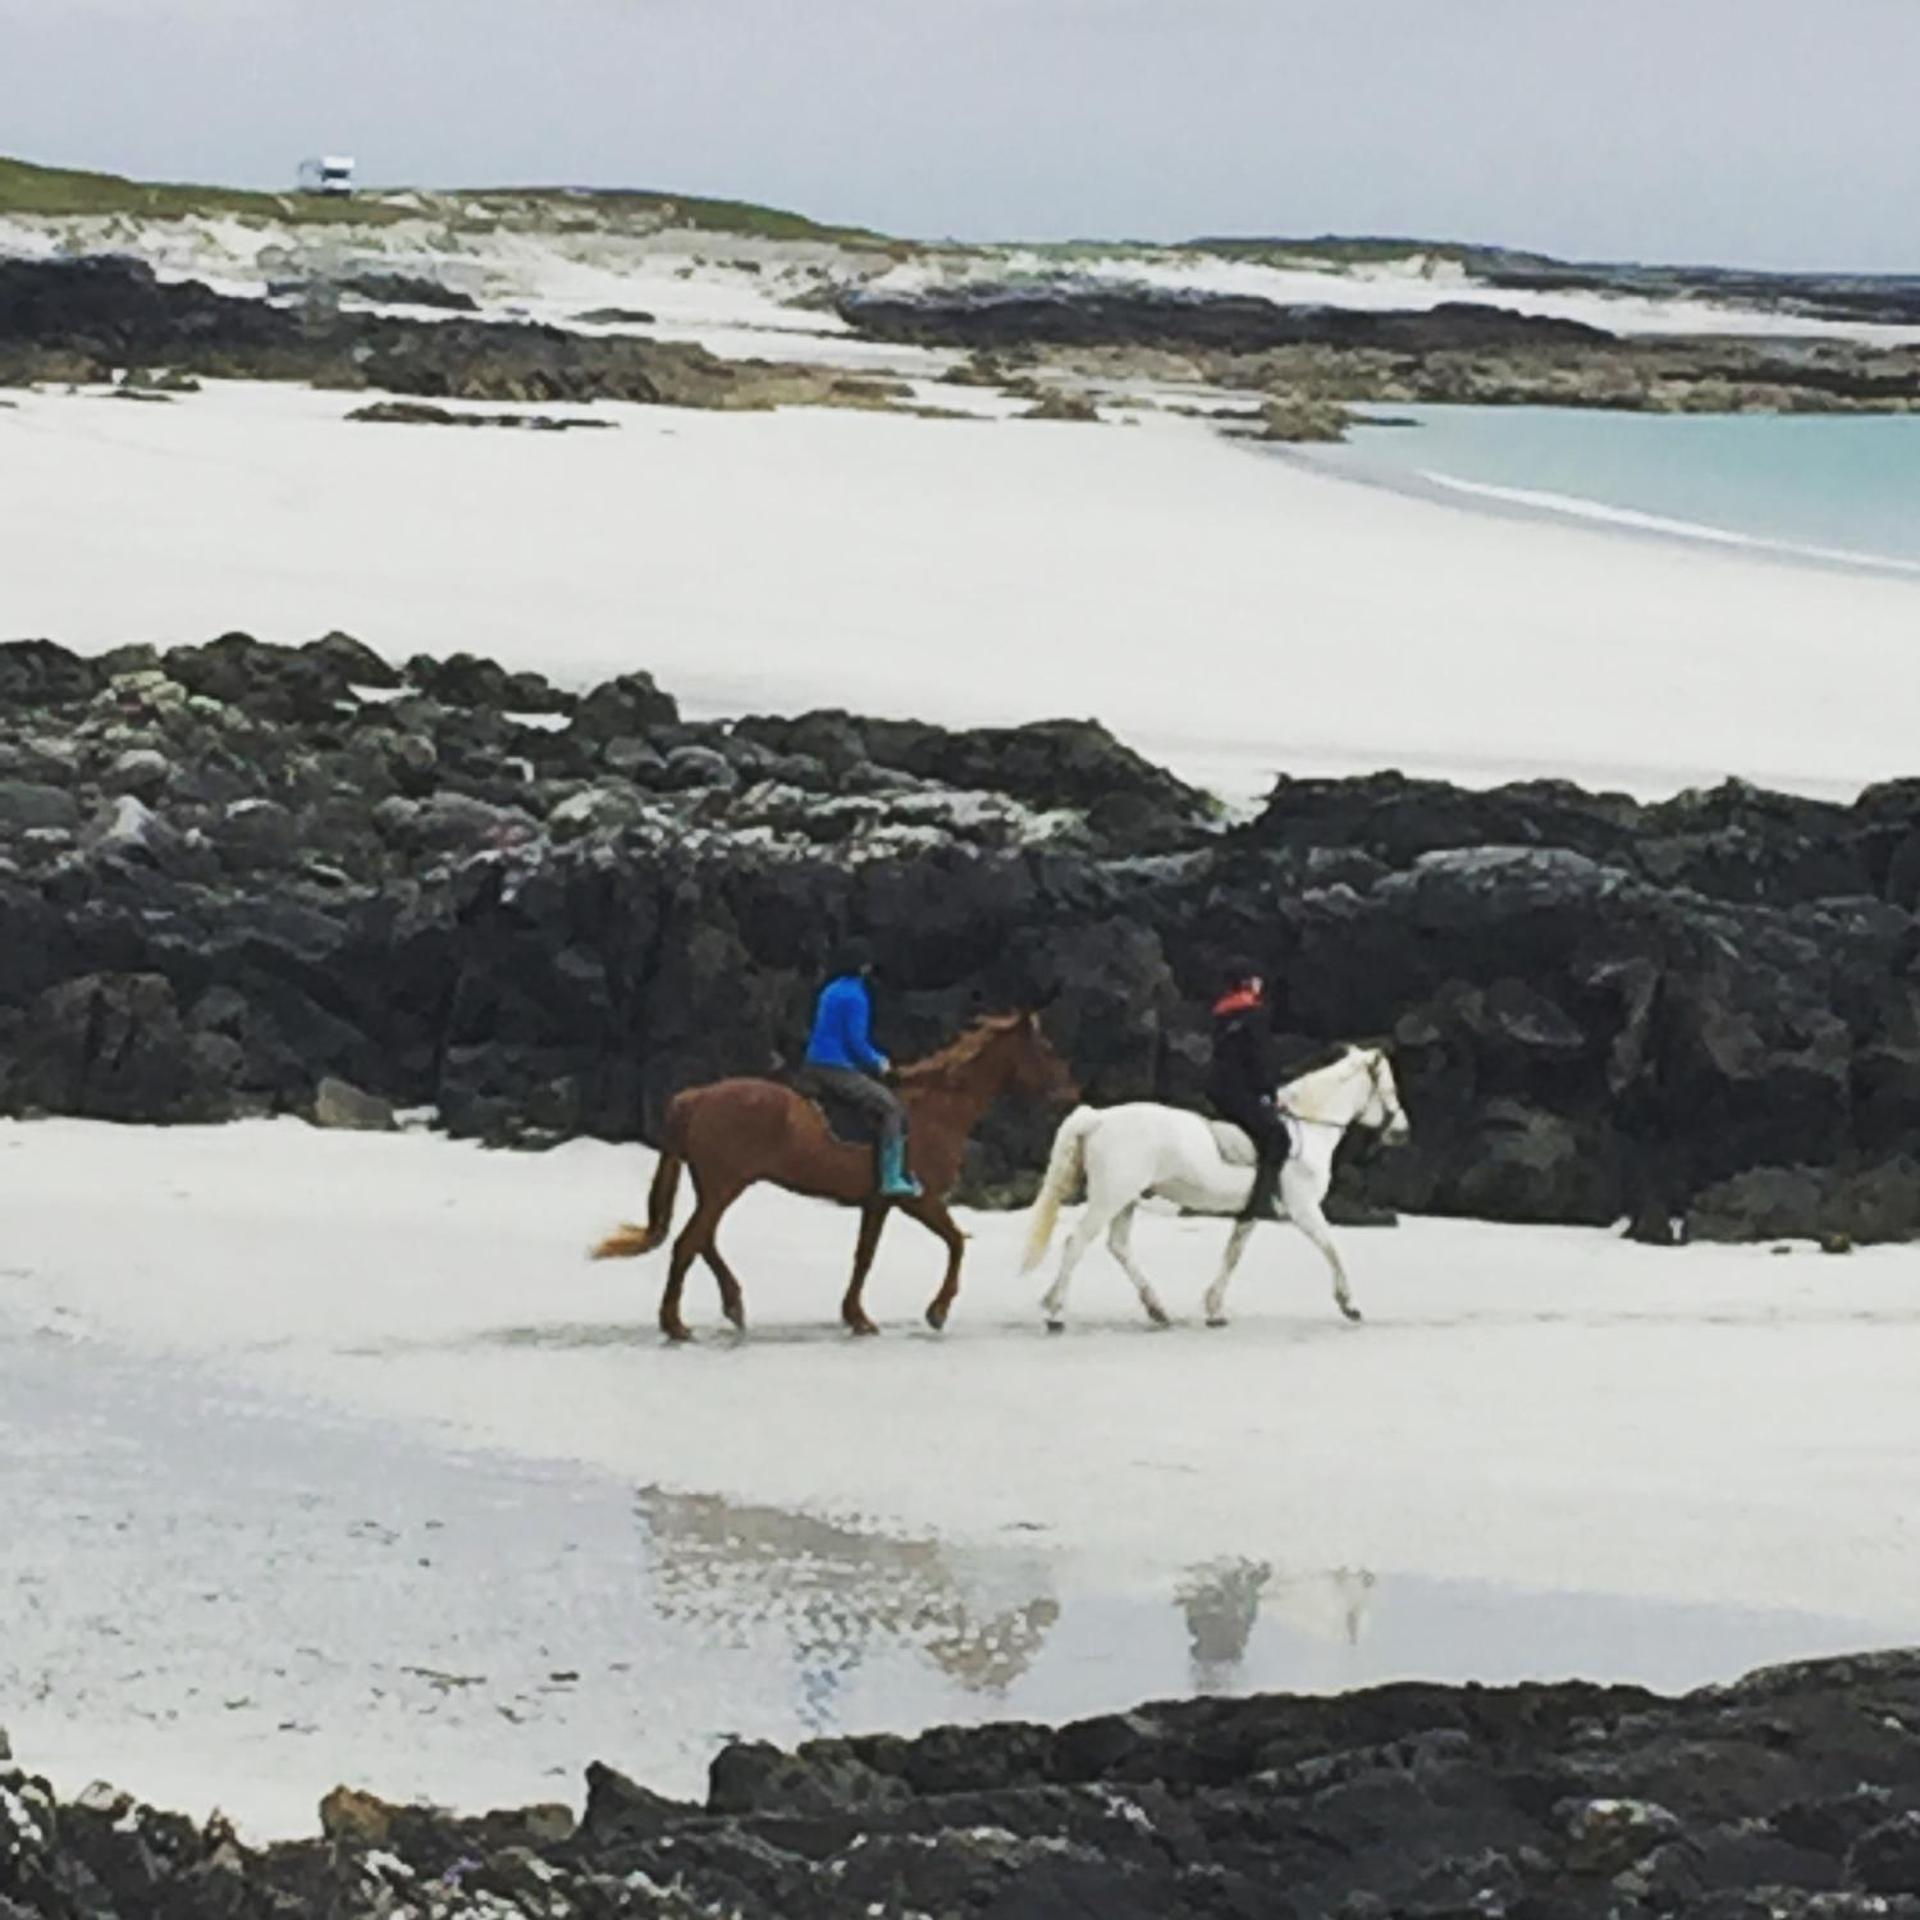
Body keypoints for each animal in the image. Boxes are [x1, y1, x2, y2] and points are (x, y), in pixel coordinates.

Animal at [591, 1012, 1078, 1341]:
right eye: (1047, 1049)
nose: (1071, 1091)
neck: (937, 1109)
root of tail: (695, 1098)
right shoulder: (917, 1200)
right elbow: (956, 1243)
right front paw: (937, 1309)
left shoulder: (878, 1203)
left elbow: (864, 1257)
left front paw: (856, 1315)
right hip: (724, 1186)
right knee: (689, 1243)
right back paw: (675, 1323)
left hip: (715, 1186)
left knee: (703, 1240)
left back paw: (731, 1303)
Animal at [1020, 1044, 1410, 1331]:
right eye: (1388, 1088)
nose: (1402, 1131)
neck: (1308, 1128)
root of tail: (1099, 1118)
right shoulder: (1304, 1211)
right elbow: (1333, 1249)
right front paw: (1351, 1305)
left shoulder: (1251, 1212)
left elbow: (1232, 1256)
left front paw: (1214, 1310)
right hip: (1109, 1197)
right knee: (1076, 1243)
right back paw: (1055, 1314)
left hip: (1125, 1199)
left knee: (1118, 1247)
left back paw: (1156, 1310)